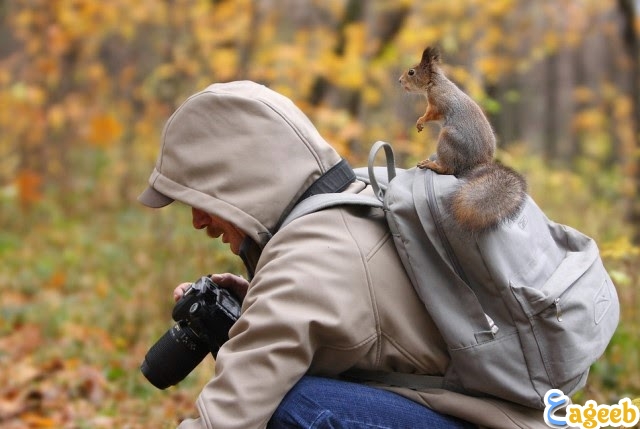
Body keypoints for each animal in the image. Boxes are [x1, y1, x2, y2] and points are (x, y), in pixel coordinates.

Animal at [398, 46, 528, 232]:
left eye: (411, 72)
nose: (399, 81)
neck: (435, 83)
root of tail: (477, 164)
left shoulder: (437, 105)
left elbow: (429, 114)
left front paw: (420, 121)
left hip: (448, 139)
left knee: (448, 169)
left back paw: (432, 164)